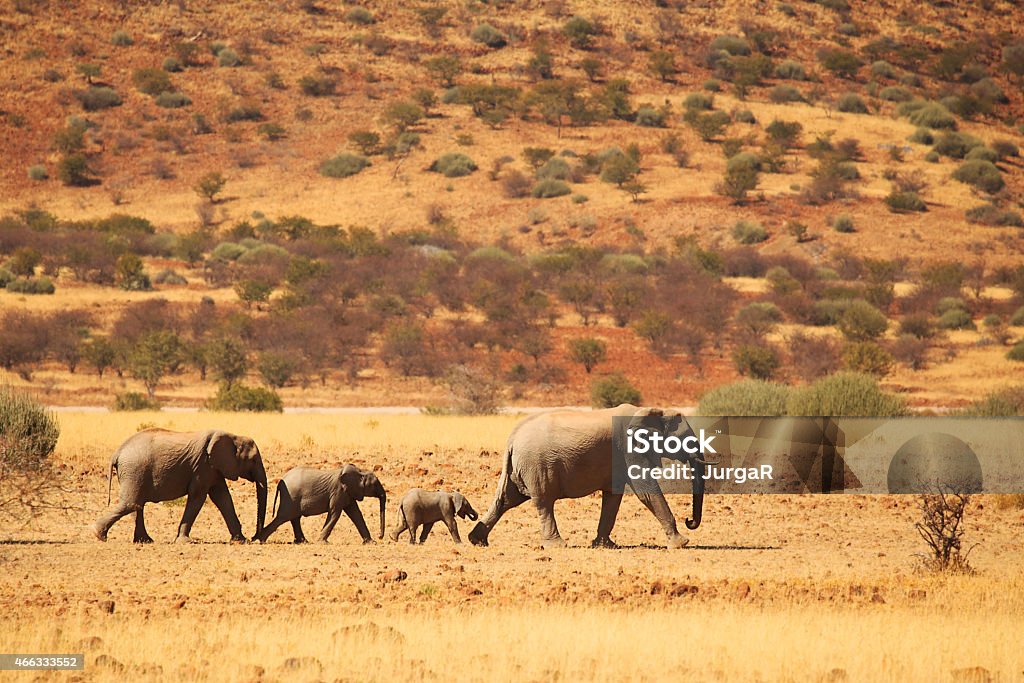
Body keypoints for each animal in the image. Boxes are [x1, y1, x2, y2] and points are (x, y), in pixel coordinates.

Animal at [92, 428, 268, 544]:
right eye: (254, 460)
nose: (255, 538)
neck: (233, 436)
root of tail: (117, 452)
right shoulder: (203, 466)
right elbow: (198, 497)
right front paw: (185, 542)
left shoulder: (214, 469)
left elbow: (222, 497)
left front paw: (240, 541)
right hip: (134, 470)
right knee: (131, 504)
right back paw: (98, 534)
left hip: (133, 472)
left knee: (136, 505)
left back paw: (145, 541)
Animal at [253, 464, 385, 544]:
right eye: (375, 485)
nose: (380, 536)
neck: (360, 472)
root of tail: (281, 480)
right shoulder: (338, 491)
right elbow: (335, 513)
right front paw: (322, 542)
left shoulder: (348, 492)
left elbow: (356, 514)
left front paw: (371, 543)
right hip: (291, 496)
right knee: (283, 517)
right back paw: (260, 540)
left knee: (294, 518)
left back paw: (302, 541)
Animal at [466, 405, 712, 548]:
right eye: (684, 438)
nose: (689, 520)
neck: (650, 410)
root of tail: (512, 438)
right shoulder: (630, 448)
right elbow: (646, 490)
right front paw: (681, 543)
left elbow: (613, 496)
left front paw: (605, 545)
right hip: (536, 465)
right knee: (543, 502)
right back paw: (557, 545)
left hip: (522, 467)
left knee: (506, 500)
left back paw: (477, 541)